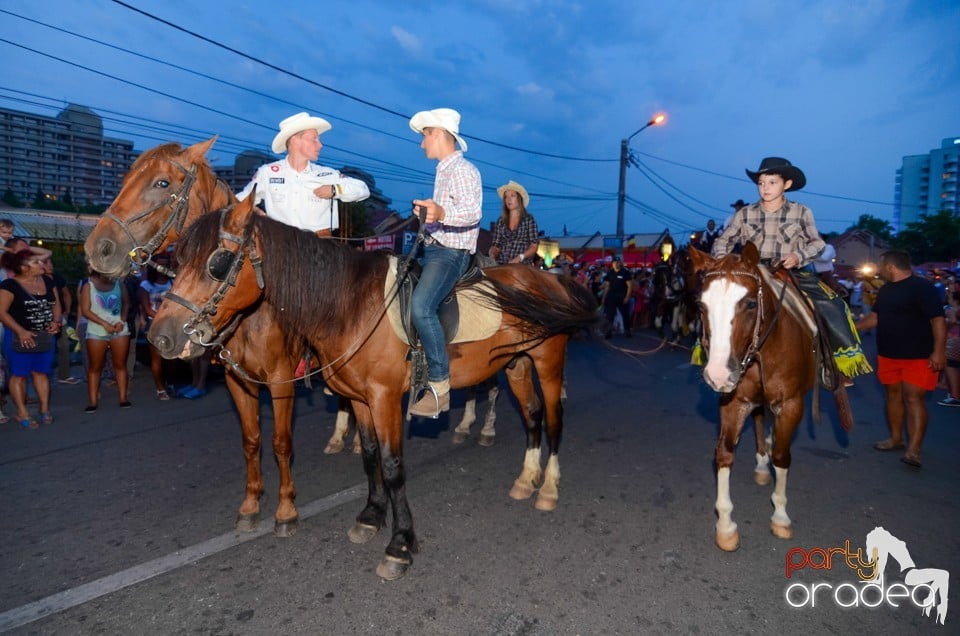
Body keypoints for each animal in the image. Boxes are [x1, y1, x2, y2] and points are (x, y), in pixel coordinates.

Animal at [148, 196, 600, 580]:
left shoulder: (384, 399)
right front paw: (370, 516)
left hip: (548, 362)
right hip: (517, 364)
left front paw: (400, 544)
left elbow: (393, 465)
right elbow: (368, 459)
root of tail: (549, 278)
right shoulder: (360, 399)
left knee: (554, 420)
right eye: (178, 260)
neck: (349, 305)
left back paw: (548, 488)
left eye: (217, 263)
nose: (160, 336)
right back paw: (526, 480)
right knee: (532, 416)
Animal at [688, 243, 852, 552]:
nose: (717, 374)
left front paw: (780, 517)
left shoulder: (791, 405)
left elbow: (782, 456)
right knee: (760, 418)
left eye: (751, 304)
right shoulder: (734, 401)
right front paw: (725, 525)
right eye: (701, 306)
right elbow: (724, 453)